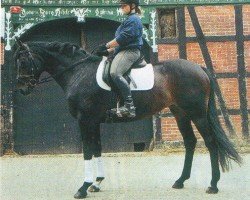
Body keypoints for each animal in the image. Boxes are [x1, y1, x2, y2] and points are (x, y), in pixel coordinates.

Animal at [13, 40, 242, 198]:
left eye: (23, 61)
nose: (22, 88)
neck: (78, 72)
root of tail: (199, 68)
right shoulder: (94, 121)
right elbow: (97, 149)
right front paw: (97, 183)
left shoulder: (85, 120)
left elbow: (87, 151)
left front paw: (84, 187)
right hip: (180, 113)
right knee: (190, 142)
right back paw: (180, 181)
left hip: (197, 114)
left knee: (210, 143)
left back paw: (213, 185)